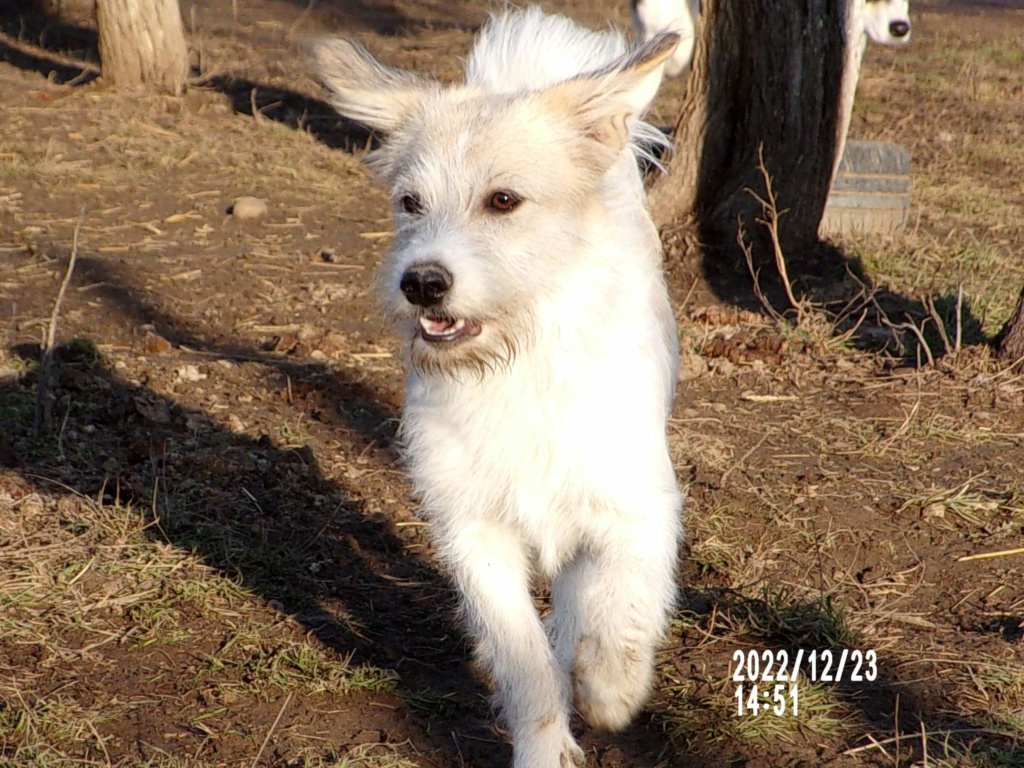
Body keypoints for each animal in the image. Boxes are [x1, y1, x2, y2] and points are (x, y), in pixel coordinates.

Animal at [315, 7, 684, 768]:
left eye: (504, 200)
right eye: (410, 202)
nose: (422, 282)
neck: (517, 363)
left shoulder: (639, 508)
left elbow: (627, 600)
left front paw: (612, 688)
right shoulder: (472, 529)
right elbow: (521, 655)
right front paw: (545, 745)